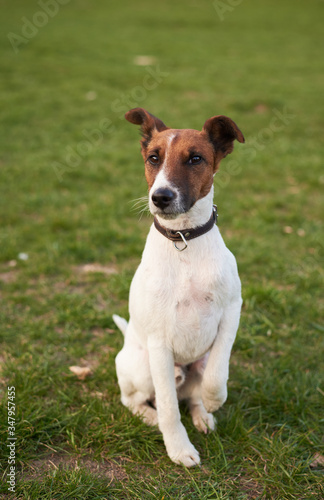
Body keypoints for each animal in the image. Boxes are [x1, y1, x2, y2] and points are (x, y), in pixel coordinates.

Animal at [112, 107, 244, 466]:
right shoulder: (159, 342)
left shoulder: (232, 311)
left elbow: (218, 373)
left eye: (195, 158)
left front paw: (213, 401)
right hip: (142, 365)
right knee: (135, 399)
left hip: (197, 360)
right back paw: (150, 416)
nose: (160, 197)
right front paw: (179, 449)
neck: (184, 241)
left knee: (193, 391)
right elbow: (169, 409)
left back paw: (203, 414)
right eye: (153, 158)